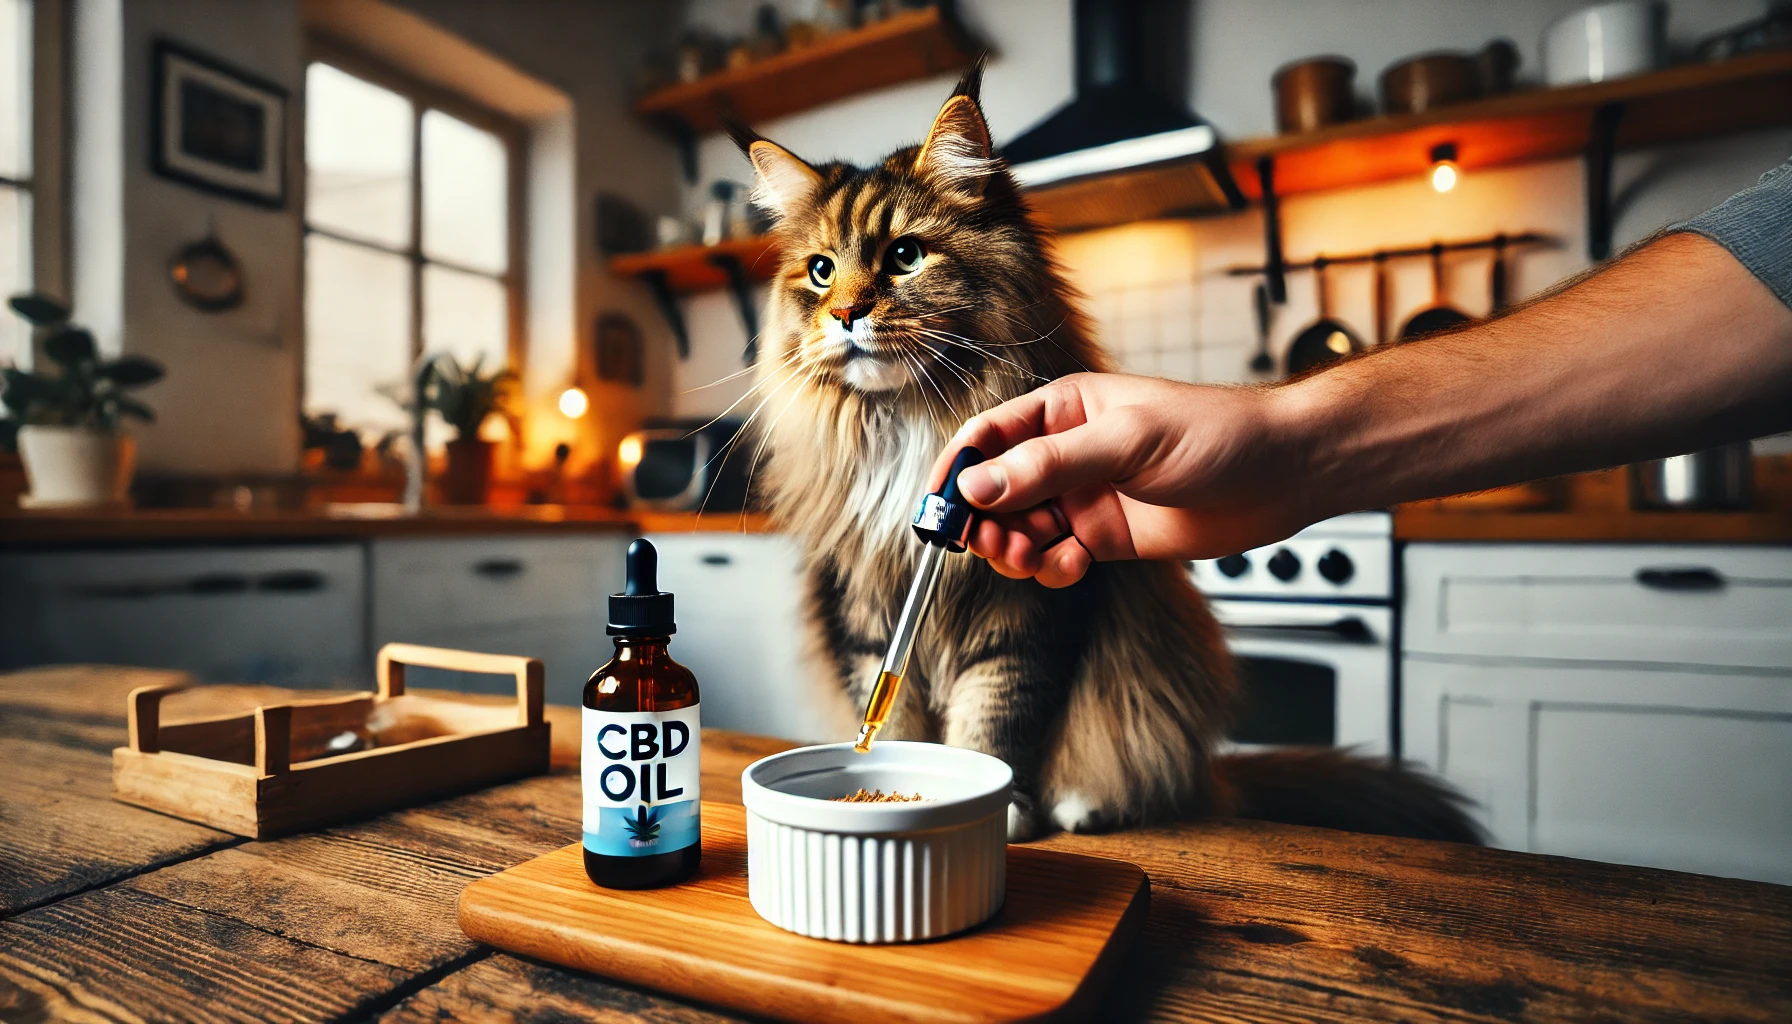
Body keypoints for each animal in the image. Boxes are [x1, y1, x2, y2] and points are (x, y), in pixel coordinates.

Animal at [720, 65, 1476, 850]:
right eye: (819, 271)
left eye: (904, 256)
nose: (844, 314)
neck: (907, 421)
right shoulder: (861, 611)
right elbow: (894, 712)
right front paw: (881, 762)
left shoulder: (1024, 615)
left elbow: (995, 716)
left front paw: (999, 803)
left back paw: (1085, 805)